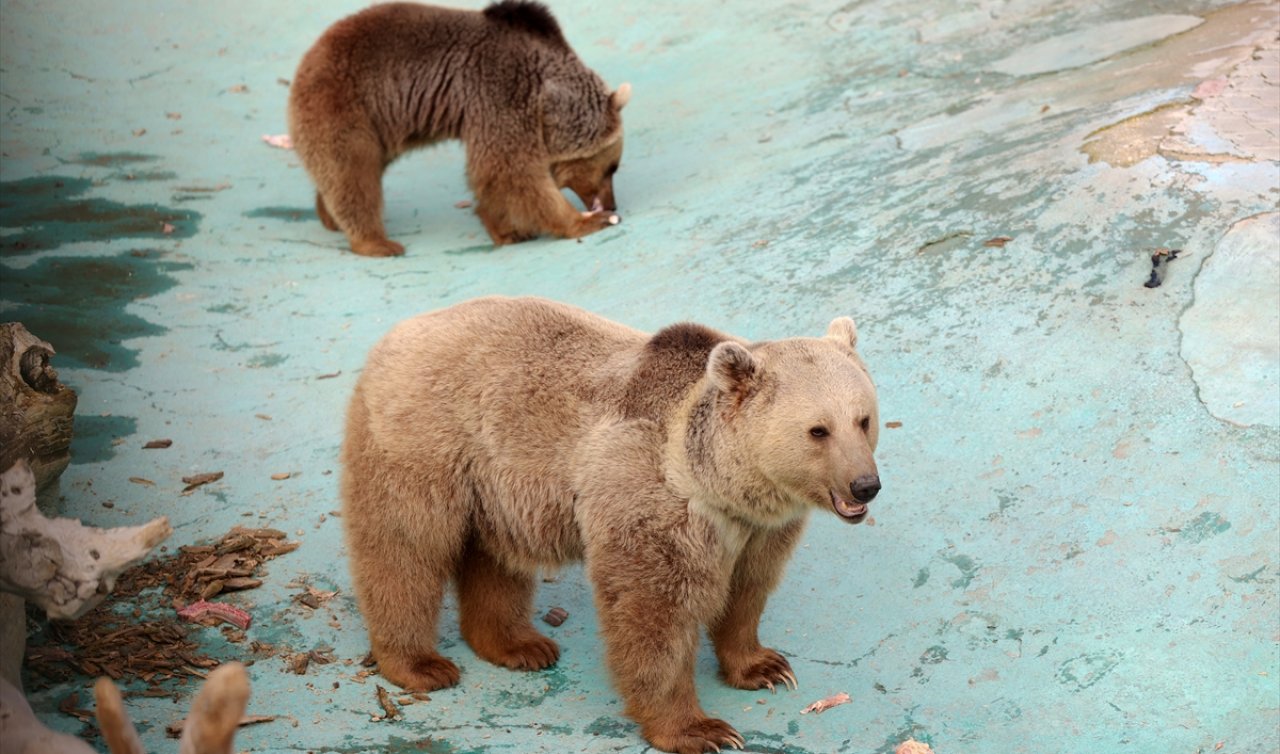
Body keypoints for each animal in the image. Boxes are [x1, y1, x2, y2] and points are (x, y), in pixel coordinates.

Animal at [290, 1, 629, 256]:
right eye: (611, 167)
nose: (613, 203)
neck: (545, 96)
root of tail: (306, 61)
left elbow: (496, 174)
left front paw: (505, 229)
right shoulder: (501, 91)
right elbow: (510, 170)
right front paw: (585, 221)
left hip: (381, 127)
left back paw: (328, 215)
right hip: (345, 106)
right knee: (354, 175)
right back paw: (377, 242)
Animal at [337, 296, 880, 752]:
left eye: (863, 419)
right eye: (818, 430)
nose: (865, 486)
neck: (719, 483)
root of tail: (398, 332)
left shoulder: (756, 530)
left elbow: (747, 591)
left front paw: (765, 665)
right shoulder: (650, 500)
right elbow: (653, 614)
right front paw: (700, 730)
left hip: (495, 486)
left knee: (494, 559)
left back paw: (519, 644)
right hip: (426, 439)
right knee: (404, 549)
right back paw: (419, 664)